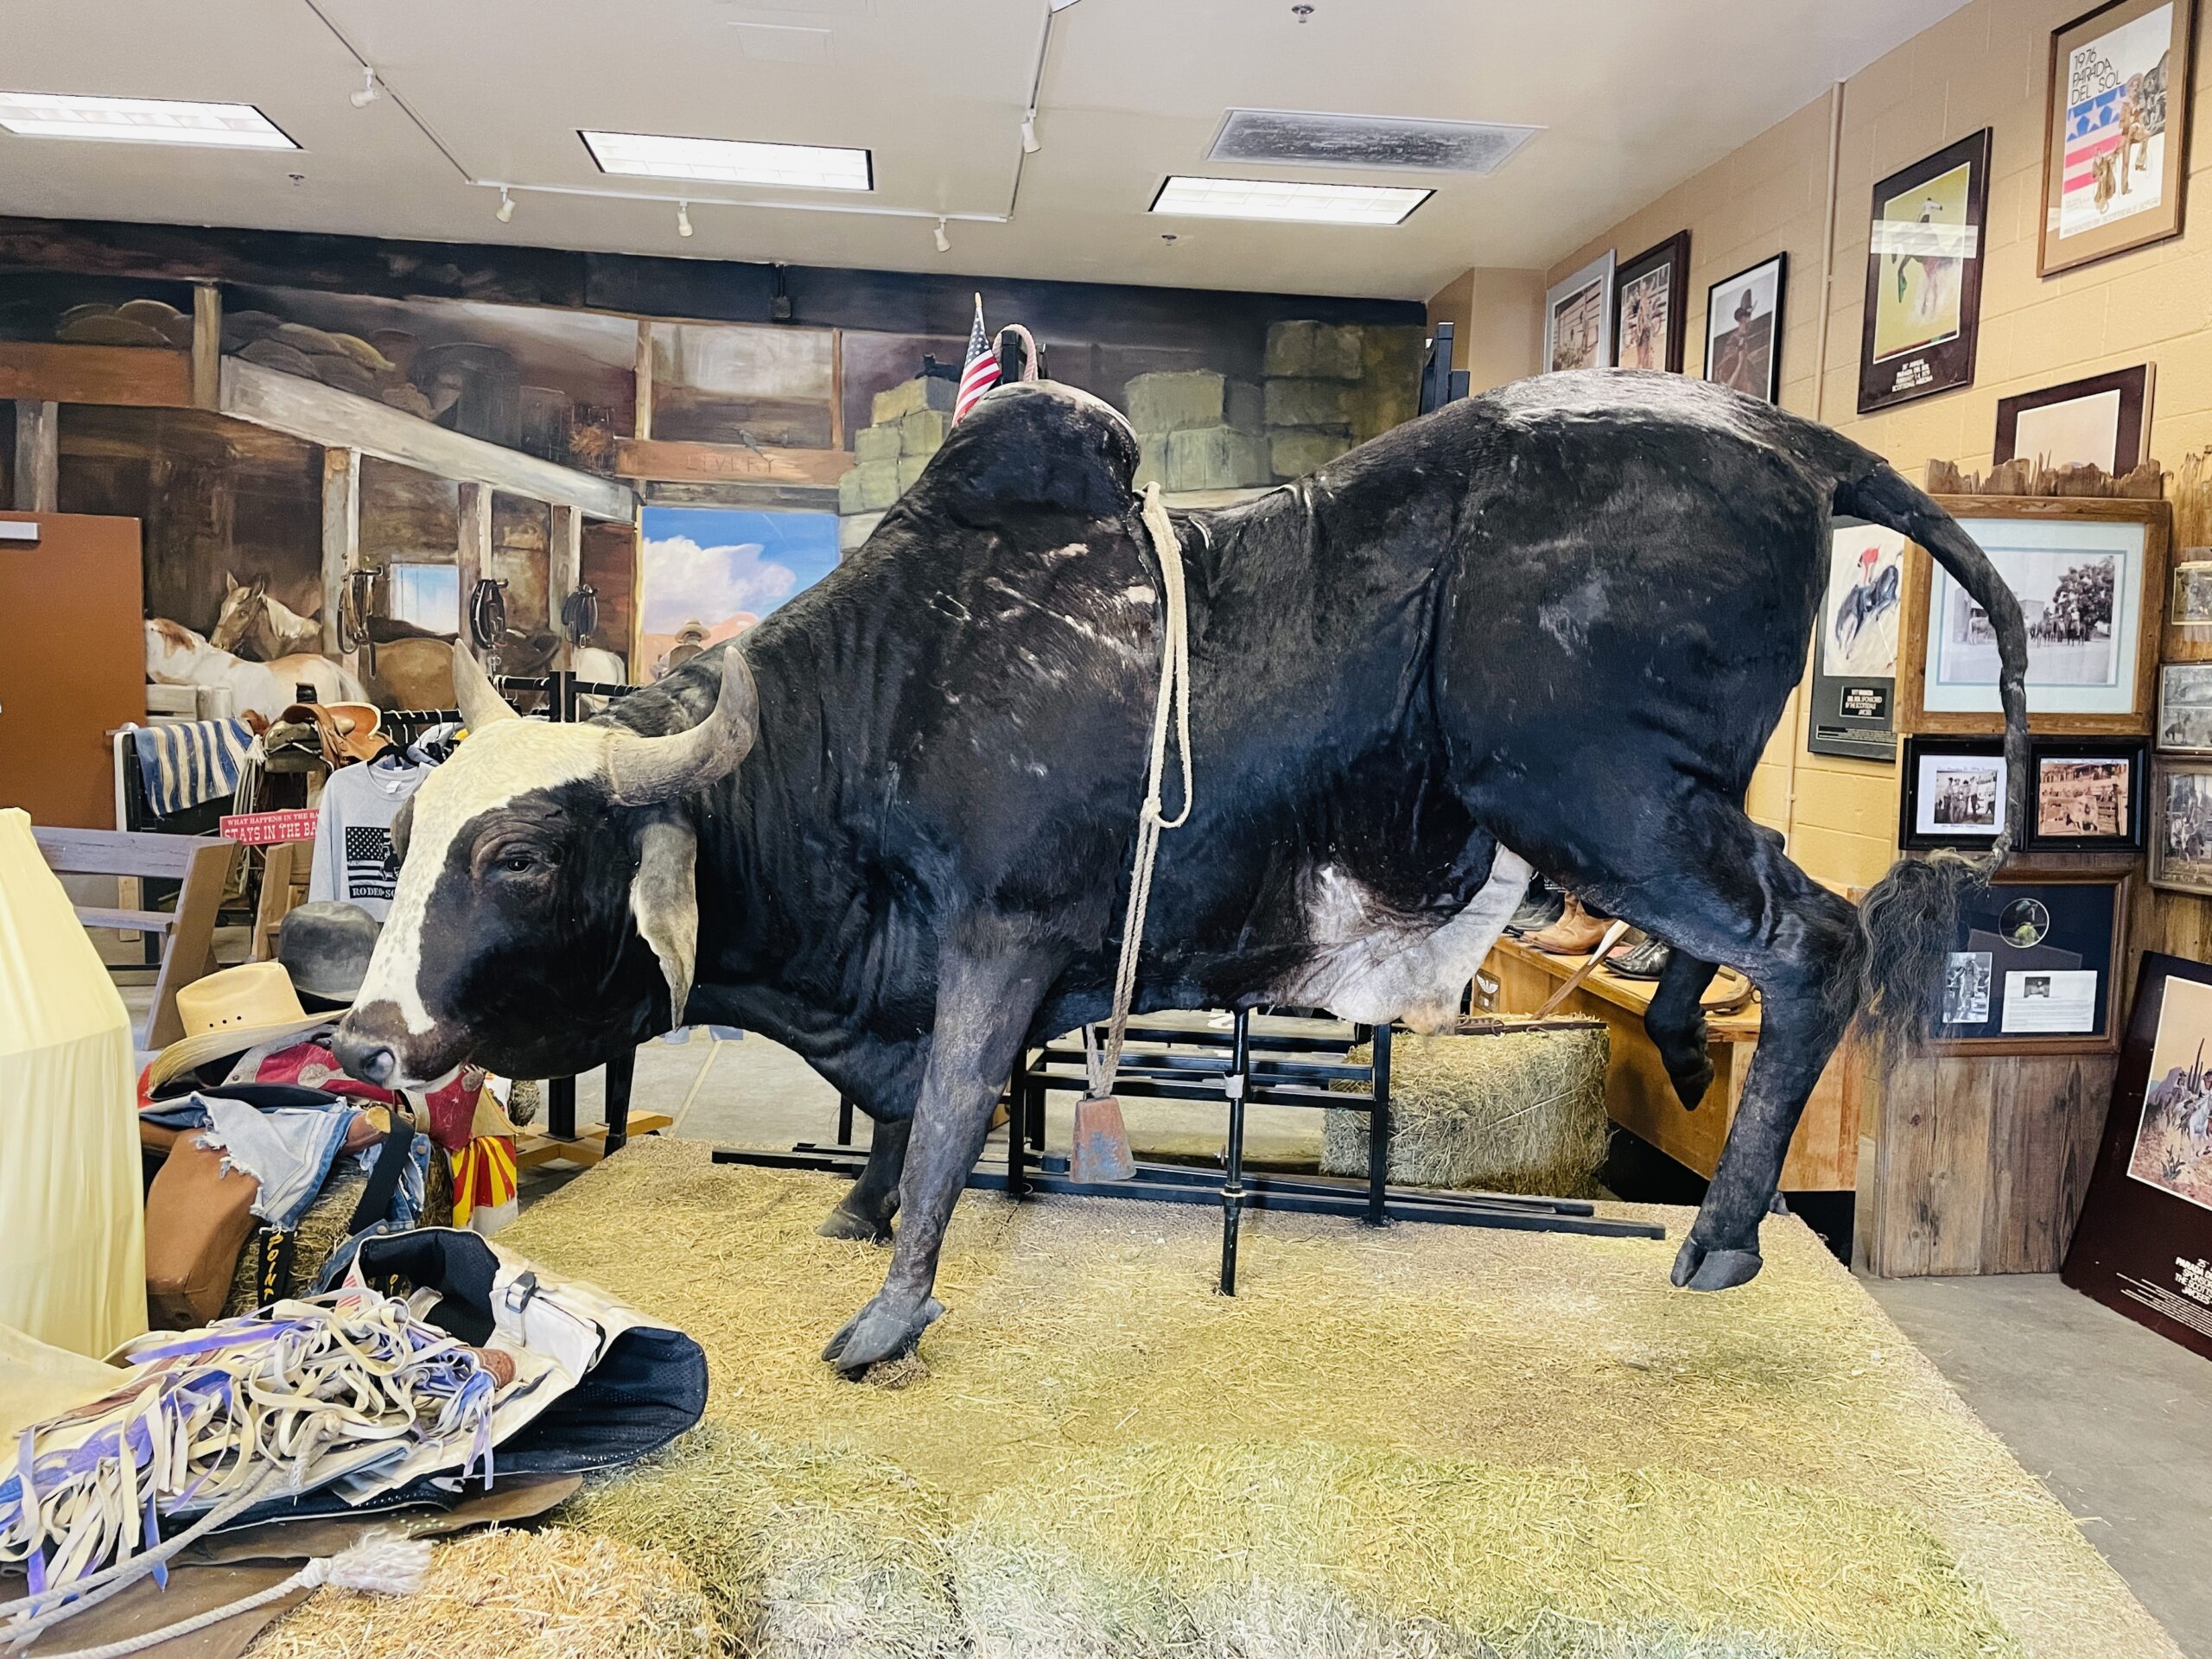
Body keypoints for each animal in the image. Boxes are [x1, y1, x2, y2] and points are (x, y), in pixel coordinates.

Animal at [334, 371, 2029, 1377]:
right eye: (404, 840)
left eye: (523, 855)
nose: (365, 1039)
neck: (881, 700)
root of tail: (1779, 434)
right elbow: (908, 1123)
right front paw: (859, 1213)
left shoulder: (1006, 937)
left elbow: (949, 1117)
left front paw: (886, 1314)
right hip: (1663, 806)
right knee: (1763, 924)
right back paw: (1676, 1044)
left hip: (1602, 802)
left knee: (1815, 940)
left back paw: (1721, 1237)